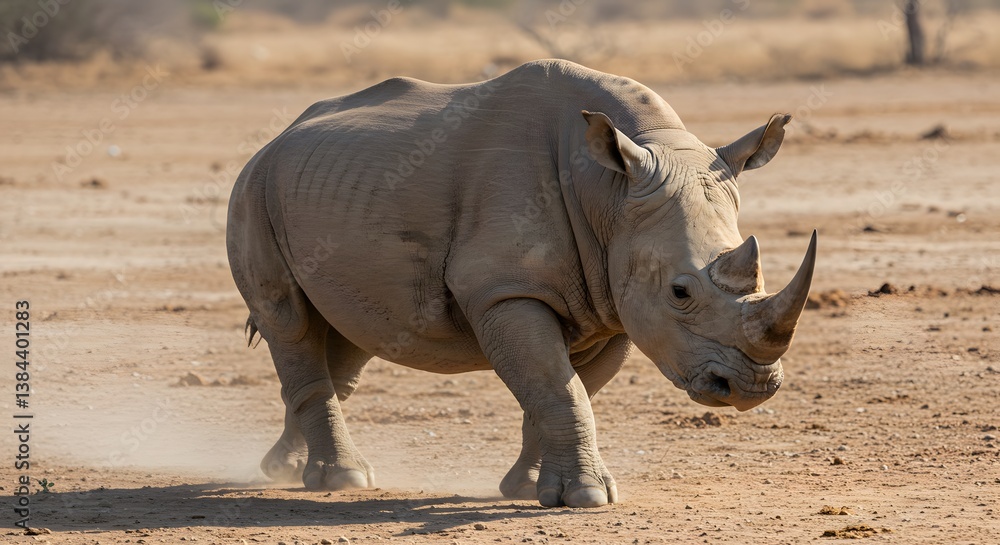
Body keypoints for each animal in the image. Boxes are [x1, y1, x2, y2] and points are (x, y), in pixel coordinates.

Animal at [226, 59, 816, 508]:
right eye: (680, 292)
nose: (751, 387)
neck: (609, 191)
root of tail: (277, 137)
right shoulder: (504, 289)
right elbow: (558, 387)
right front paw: (586, 497)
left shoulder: (616, 303)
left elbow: (564, 390)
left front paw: (531, 489)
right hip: (253, 188)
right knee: (290, 321)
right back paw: (340, 480)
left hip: (329, 186)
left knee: (352, 335)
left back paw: (283, 469)